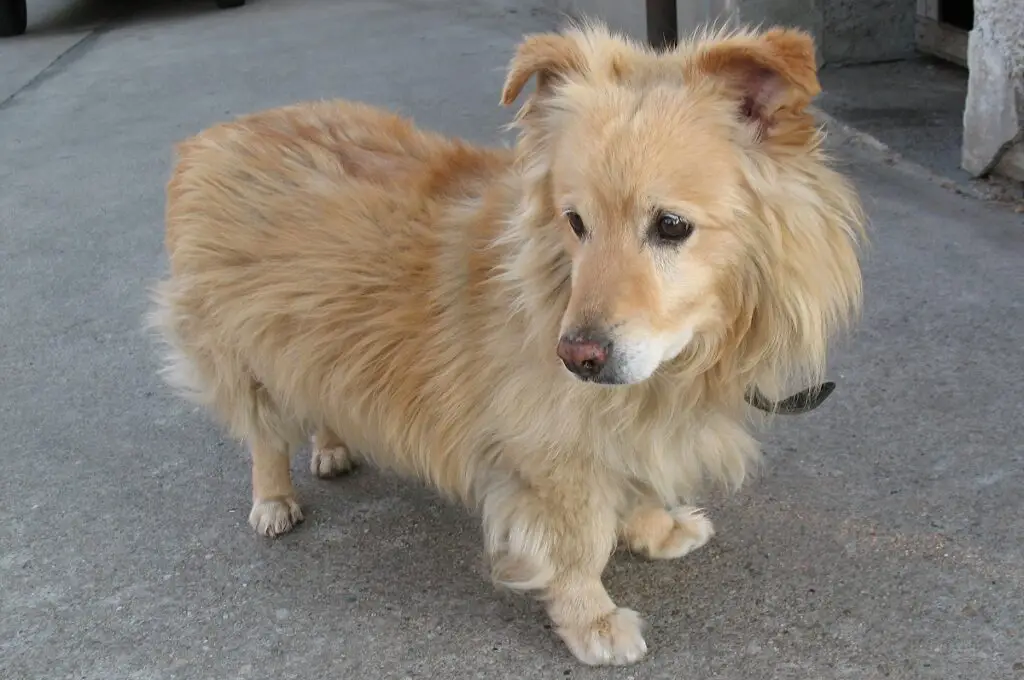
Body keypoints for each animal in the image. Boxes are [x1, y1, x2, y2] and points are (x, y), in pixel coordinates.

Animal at [149, 22, 864, 667]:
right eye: (575, 222)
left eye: (670, 226)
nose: (577, 357)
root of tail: (216, 133)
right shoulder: (550, 457)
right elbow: (579, 545)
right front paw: (592, 621)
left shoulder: (618, 426)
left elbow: (632, 486)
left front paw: (655, 529)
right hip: (246, 357)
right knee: (265, 435)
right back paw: (273, 500)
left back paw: (332, 445)